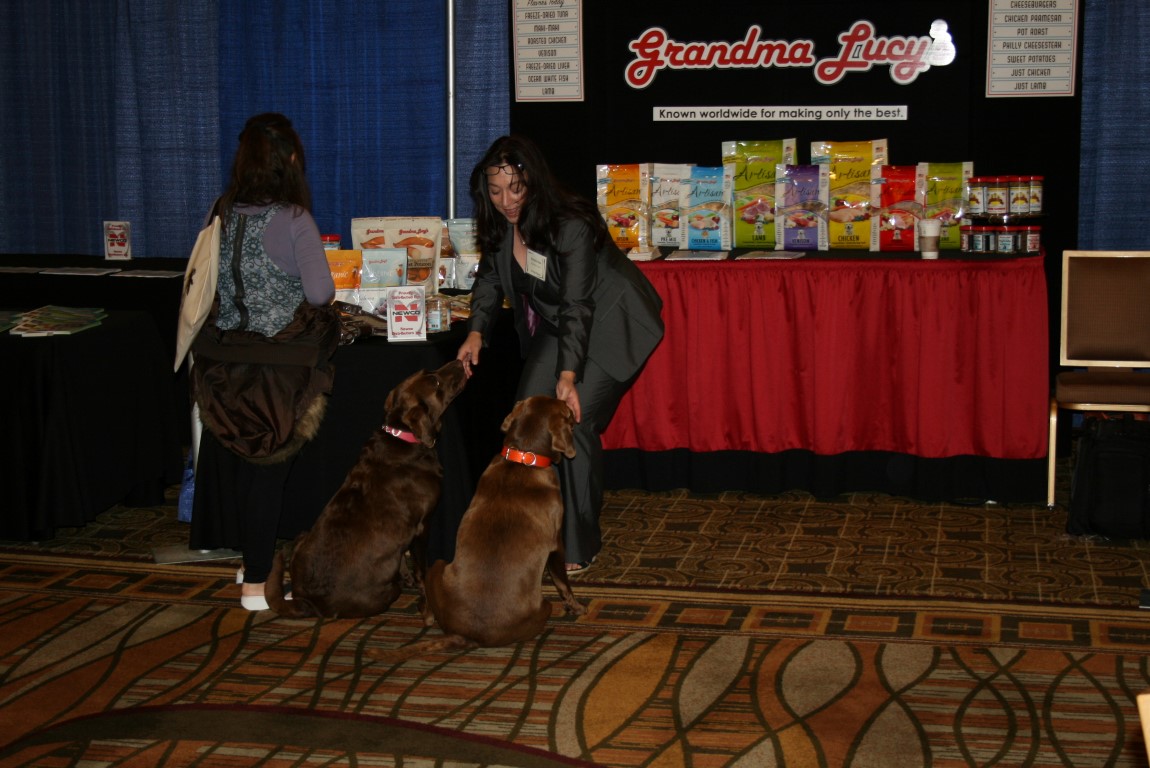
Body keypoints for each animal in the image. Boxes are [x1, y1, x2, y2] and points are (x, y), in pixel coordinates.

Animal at [264, 358, 467, 618]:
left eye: (429, 372)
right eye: (436, 382)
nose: (460, 361)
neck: (404, 438)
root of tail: (306, 599)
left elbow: (402, 557)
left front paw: (408, 577)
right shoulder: (422, 526)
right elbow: (422, 568)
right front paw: (427, 604)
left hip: (302, 535)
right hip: (383, 593)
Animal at [374, 395, 586, 659]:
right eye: (567, 411)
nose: (573, 409)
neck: (523, 459)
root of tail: (465, 635)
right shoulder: (556, 545)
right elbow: (563, 582)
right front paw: (576, 606)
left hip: (438, 567)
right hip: (540, 606)